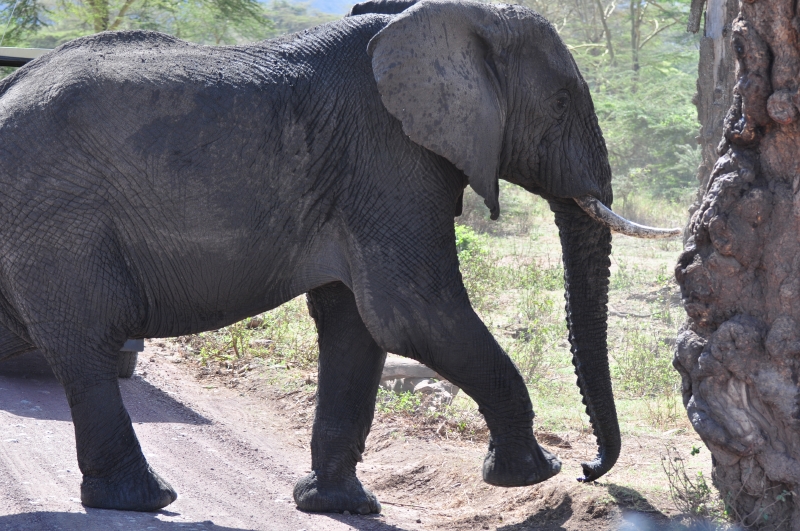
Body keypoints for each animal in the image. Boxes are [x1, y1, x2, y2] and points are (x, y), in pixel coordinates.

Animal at [0, 0, 678, 515]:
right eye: (562, 103)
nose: (591, 470)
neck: (452, 17)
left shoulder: (359, 178)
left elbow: (356, 325)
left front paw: (340, 506)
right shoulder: (388, 158)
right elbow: (412, 313)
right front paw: (534, 474)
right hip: (58, 216)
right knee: (88, 344)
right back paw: (144, 499)